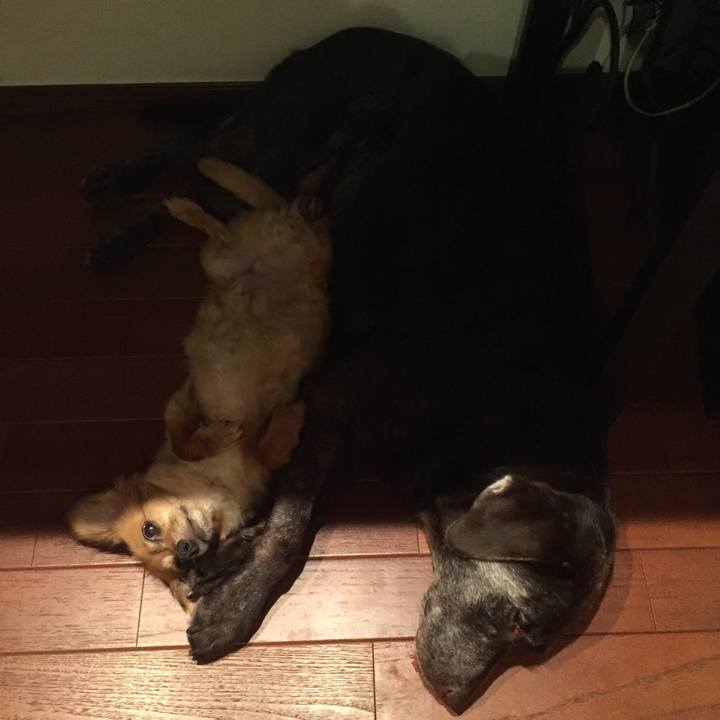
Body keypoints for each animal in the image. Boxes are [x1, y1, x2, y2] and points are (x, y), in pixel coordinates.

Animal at [68, 159, 330, 612]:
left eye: (150, 528)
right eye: (182, 567)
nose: (186, 549)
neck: (218, 482)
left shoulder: (183, 400)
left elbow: (184, 436)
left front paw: (218, 433)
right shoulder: (263, 465)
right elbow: (268, 447)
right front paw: (286, 419)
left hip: (221, 260)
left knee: (226, 227)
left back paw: (191, 200)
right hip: (249, 257)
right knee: (266, 222)